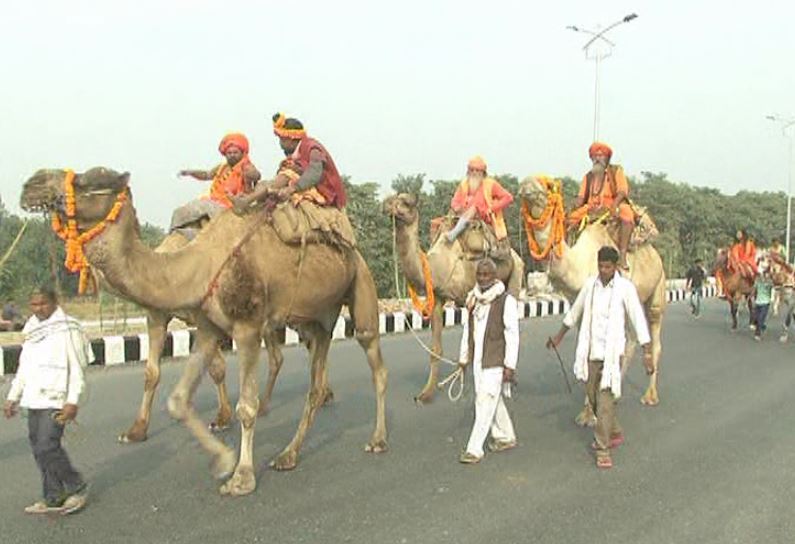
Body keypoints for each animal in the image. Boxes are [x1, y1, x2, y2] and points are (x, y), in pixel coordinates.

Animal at [21, 168, 388, 496]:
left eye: (87, 182)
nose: (32, 184)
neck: (196, 264)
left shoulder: (246, 326)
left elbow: (246, 406)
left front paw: (241, 477)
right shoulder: (206, 326)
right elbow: (177, 398)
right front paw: (220, 458)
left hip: (360, 283)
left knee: (373, 357)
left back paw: (377, 439)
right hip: (315, 317)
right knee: (314, 372)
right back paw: (288, 454)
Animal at [384, 193, 524, 402]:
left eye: (406, 202)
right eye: (393, 197)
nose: (386, 204)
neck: (436, 265)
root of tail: (514, 253)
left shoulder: (468, 296)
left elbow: (472, 342)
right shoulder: (438, 297)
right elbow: (436, 349)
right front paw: (426, 394)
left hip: (516, 272)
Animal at [520, 174, 668, 420]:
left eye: (547, 187)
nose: (526, 185)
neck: (581, 263)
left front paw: (592, 411)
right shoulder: (579, 304)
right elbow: (588, 350)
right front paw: (589, 410)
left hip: (658, 289)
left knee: (653, 338)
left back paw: (650, 396)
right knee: (631, 340)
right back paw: (616, 392)